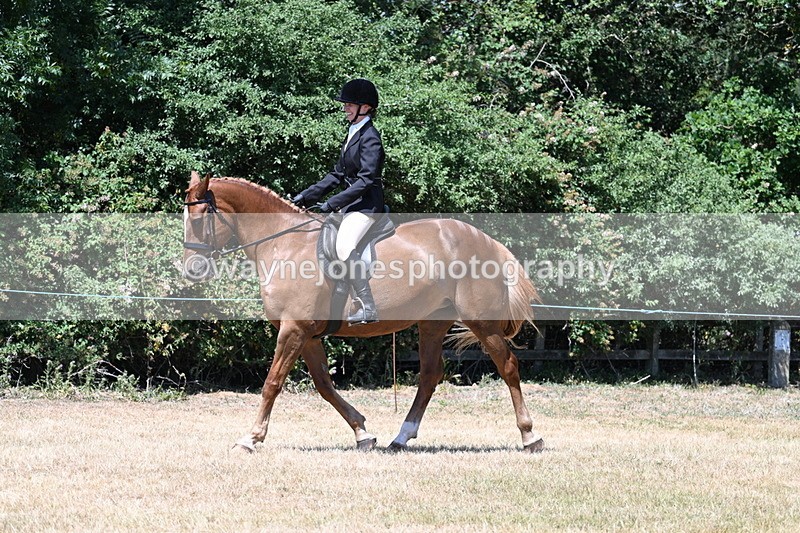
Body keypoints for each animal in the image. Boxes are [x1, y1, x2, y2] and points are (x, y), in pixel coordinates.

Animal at [183, 171, 544, 453]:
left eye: (198, 220)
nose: (191, 270)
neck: (283, 245)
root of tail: (485, 240)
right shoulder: (308, 335)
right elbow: (325, 385)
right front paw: (362, 433)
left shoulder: (293, 329)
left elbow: (272, 382)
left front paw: (250, 438)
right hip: (432, 322)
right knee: (429, 375)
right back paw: (401, 438)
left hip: (482, 322)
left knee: (508, 366)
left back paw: (530, 436)